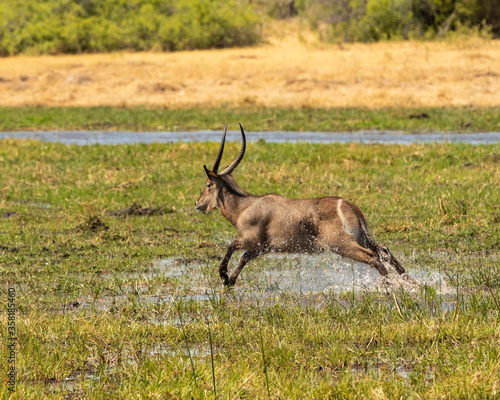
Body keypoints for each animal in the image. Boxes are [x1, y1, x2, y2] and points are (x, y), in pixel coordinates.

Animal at [195, 124, 406, 284]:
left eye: (208, 184)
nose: (198, 203)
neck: (244, 206)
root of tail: (348, 205)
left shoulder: (249, 239)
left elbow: (231, 246)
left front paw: (223, 276)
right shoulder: (263, 247)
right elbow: (245, 257)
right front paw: (230, 281)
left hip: (342, 244)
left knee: (373, 258)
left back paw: (391, 286)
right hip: (362, 238)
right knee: (384, 251)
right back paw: (407, 281)